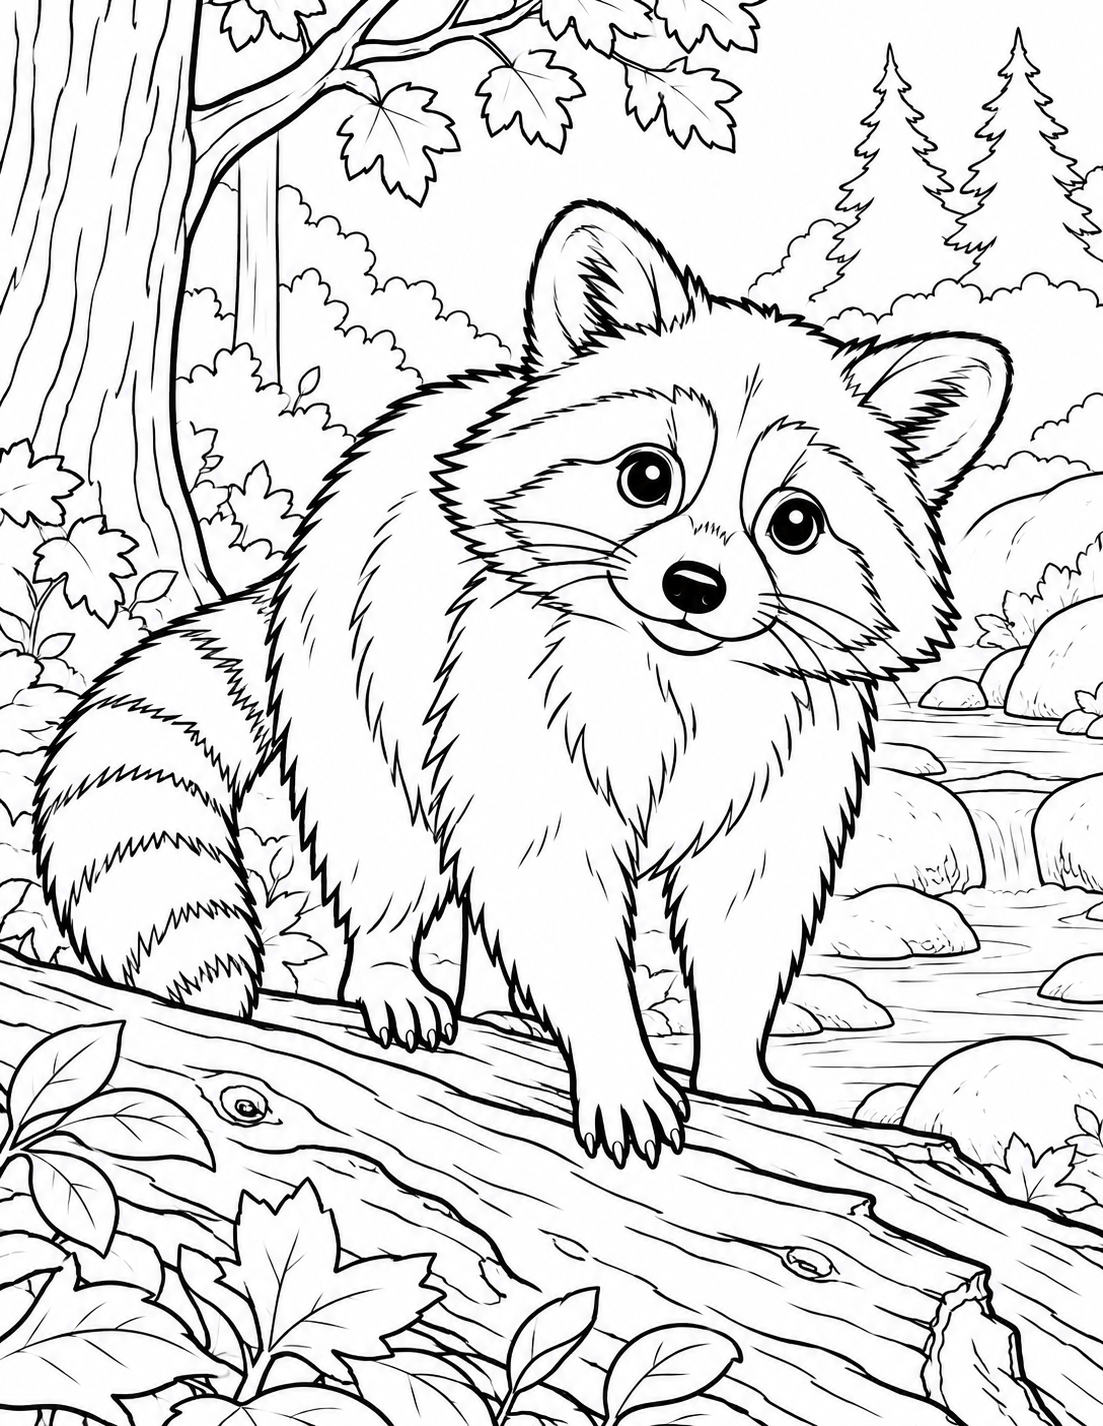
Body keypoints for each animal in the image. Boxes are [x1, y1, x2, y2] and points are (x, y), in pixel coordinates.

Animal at [34, 202, 1010, 1165]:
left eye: (794, 523)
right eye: (647, 476)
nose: (694, 587)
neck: (675, 672)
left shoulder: (785, 761)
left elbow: (745, 913)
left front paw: (735, 1065)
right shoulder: (521, 719)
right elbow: (551, 889)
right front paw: (615, 1056)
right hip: (361, 686)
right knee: (386, 849)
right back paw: (389, 969)